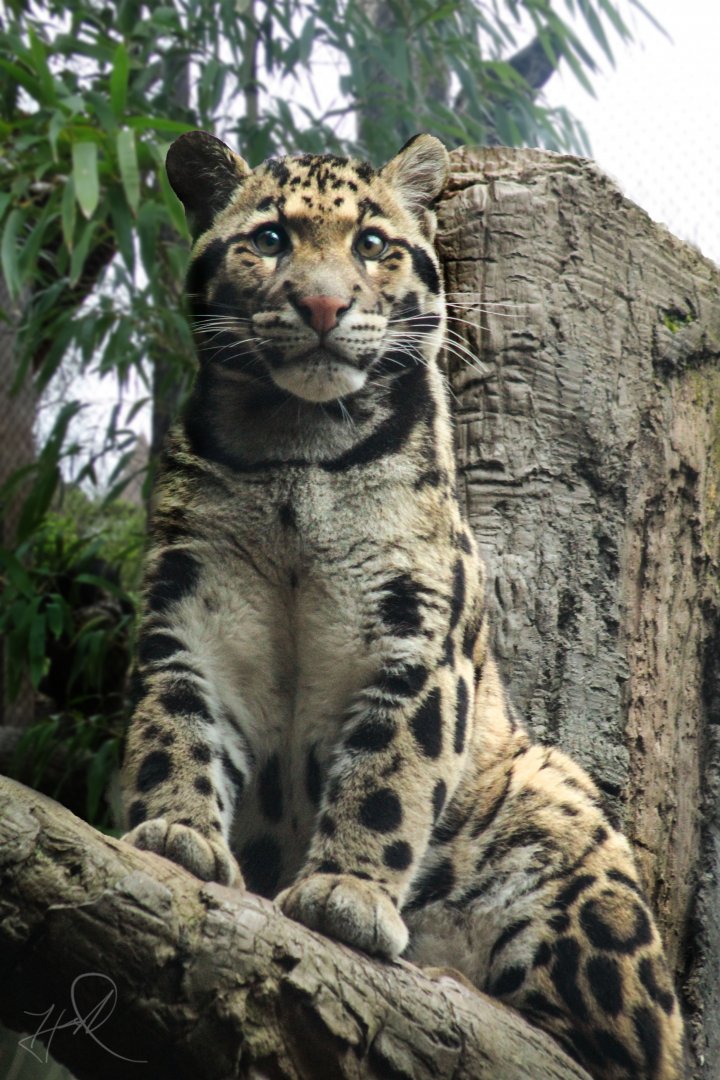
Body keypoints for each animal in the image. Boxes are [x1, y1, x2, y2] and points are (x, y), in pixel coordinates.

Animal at [121, 129, 685, 1079]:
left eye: (373, 244)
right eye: (270, 239)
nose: (321, 304)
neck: (297, 449)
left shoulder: (418, 632)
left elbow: (388, 775)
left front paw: (346, 893)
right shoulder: (187, 614)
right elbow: (174, 732)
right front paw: (174, 831)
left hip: (560, 808)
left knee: (616, 1043)